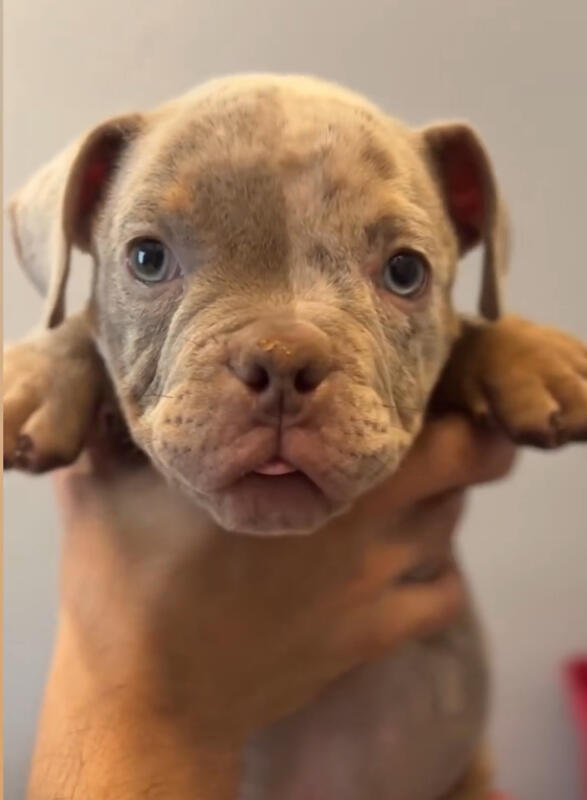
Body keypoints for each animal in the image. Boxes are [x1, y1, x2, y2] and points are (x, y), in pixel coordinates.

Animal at [4, 74, 587, 799]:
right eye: (147, 258)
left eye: (405, 272)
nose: (282, 360)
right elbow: (78, 324)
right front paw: (35, 374)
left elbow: (469, 332)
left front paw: (533, 354)